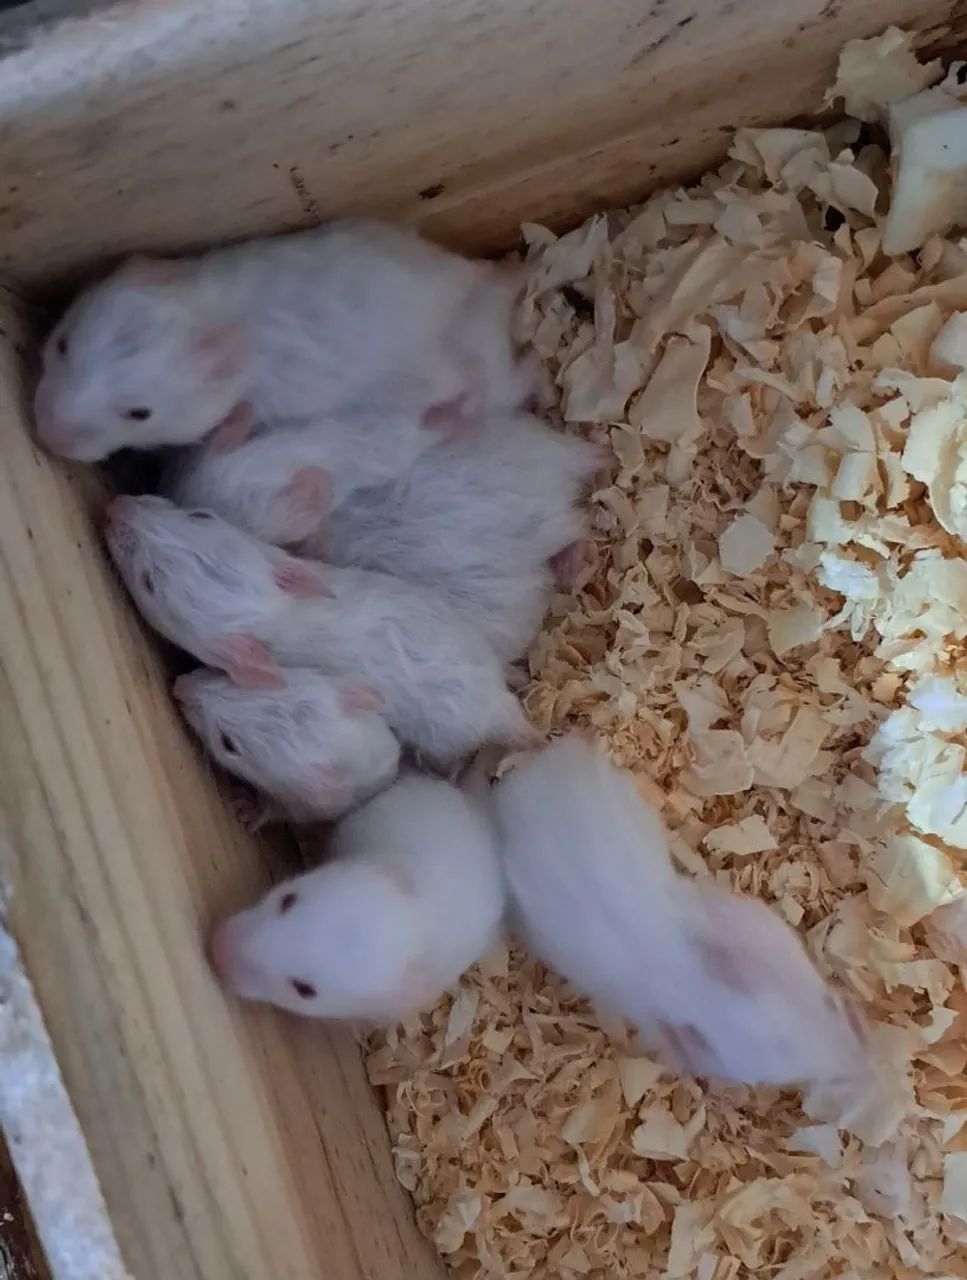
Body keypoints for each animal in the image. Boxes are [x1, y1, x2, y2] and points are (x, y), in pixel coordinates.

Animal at [34, 219, 534, 461]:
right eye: (62, 342)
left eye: (140, 414)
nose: (47, 440)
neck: (203, 306)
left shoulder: (256, 398)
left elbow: (240, 416)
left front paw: (218, 445)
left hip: (422, 374)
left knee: (473, 379)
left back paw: (451, 424)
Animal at [173, 667, 400, 826]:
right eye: (247, 682)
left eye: (228, 744)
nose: (179, 686)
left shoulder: (300, 806)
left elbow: (271, 811)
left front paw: (244, 806)